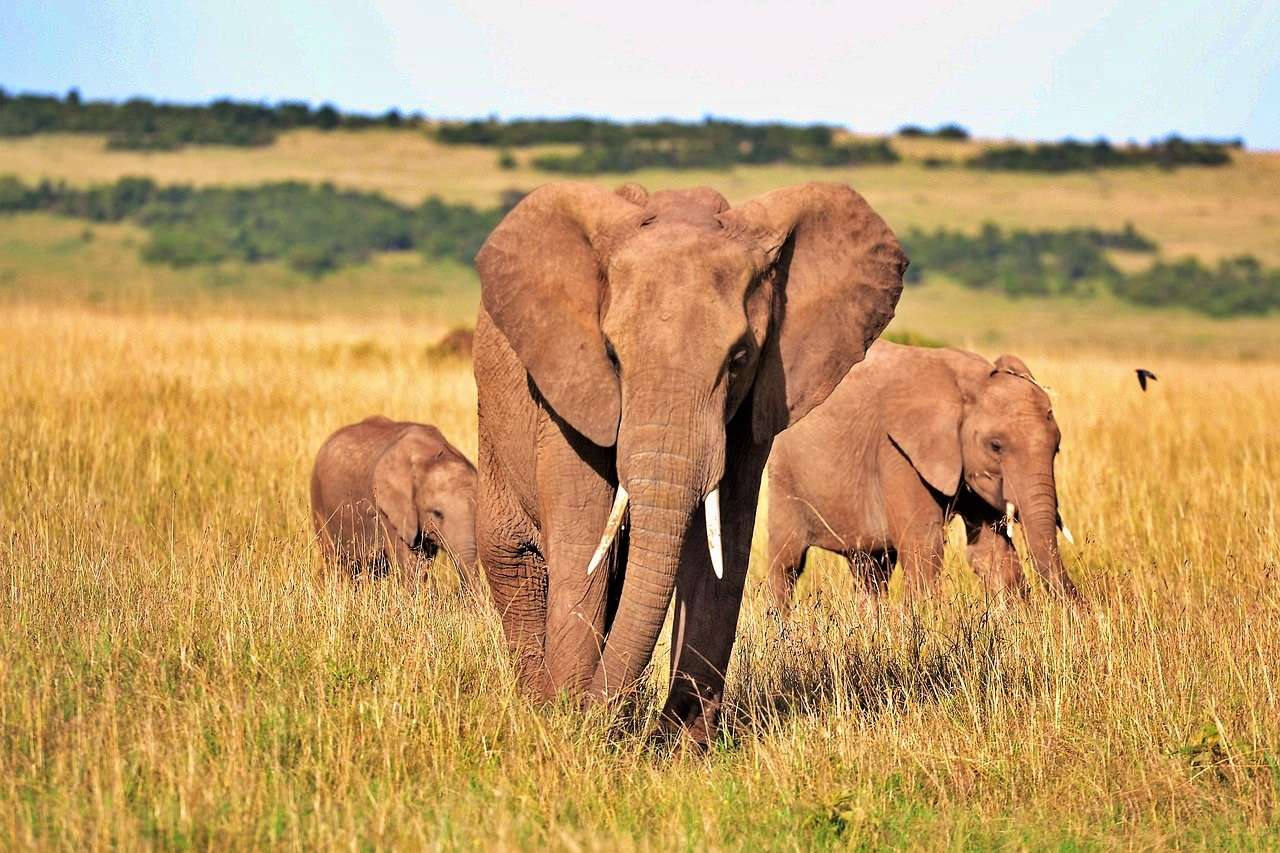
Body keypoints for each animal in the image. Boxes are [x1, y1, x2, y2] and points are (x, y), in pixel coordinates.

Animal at [312, 414, 481, 589]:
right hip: (318, 501)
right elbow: (409, 561)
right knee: (335, 561)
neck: (429, 455)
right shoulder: (387, 510)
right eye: (437, 514)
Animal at [476, 180, 906, 742]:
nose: (593, 713)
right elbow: (583, 538)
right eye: (611, 355)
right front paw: (565, 722)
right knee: (515, 560)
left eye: (740, 358)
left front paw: (681, 744)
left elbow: (723, 545)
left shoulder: (755, 405)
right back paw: (536, 702)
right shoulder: (568, 389)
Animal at [762, 340, 1075, 612]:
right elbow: (924, 545)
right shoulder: (897, 452)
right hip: (784, 475)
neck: (969, 384)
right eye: (995, 446)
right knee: (787, 563)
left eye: (1057, 448)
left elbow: (990, 552)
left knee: (871, 567)